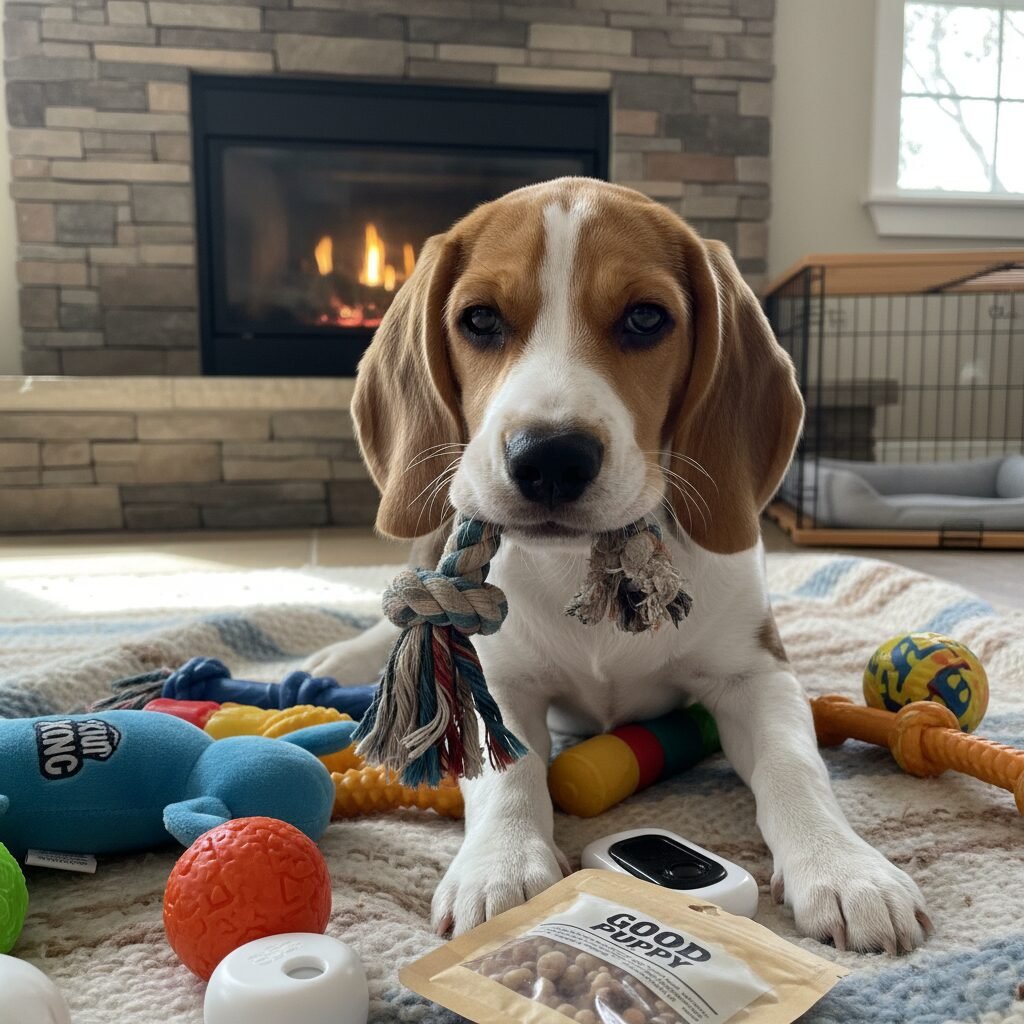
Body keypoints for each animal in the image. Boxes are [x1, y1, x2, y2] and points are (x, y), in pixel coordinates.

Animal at [306, 177, 931, 954]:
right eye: (480, 319)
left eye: (644, 318)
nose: (548, 458)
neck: (587, 564)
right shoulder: (498, 681)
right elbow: (506, 770)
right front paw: (501, 866)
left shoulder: (757, 674)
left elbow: (796, 764)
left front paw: (846, 869)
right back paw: (340, 659)